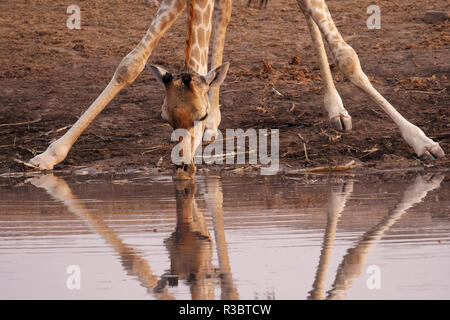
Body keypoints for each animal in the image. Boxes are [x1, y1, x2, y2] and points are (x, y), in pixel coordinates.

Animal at [29, 0, 444, 178]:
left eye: (196, 116)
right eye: (164, 118)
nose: (182, 165)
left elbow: (348, 56)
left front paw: (423, 142)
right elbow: (130, 63)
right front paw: (49, 155)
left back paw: (337, 111)